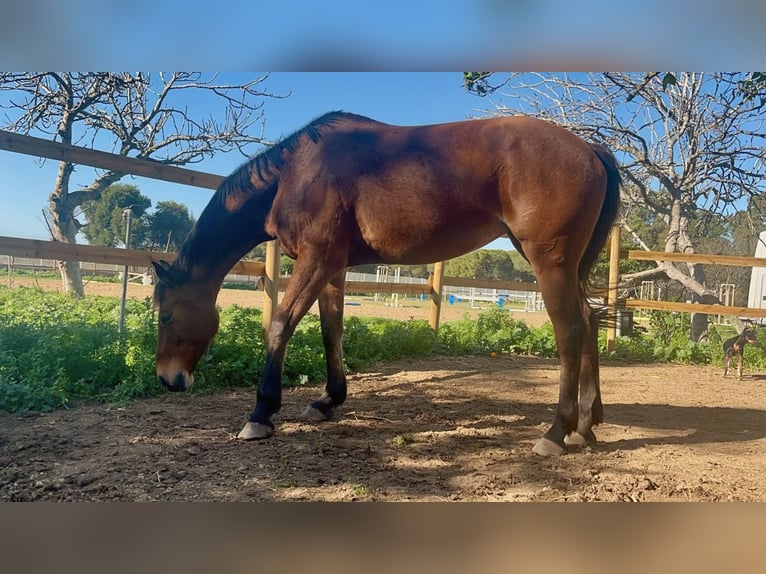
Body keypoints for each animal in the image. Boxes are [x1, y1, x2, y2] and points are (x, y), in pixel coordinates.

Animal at [152, 110, 624, 456]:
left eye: (167, 315)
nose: (167, 380)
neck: (295, 172)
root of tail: (591, 149)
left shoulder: (316, 259)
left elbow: (281, 324)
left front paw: (261, 414)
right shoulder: (334, 267)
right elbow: (332, 331)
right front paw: (327, 400)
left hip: (548, 262)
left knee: (571, 330)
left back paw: (556, 431)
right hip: (560, 265)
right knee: (588, 321)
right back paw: (585, 426)